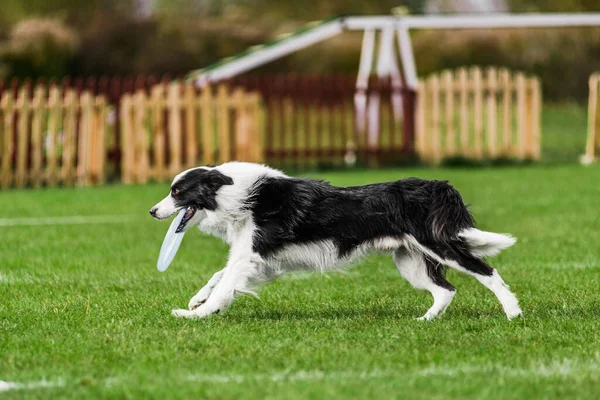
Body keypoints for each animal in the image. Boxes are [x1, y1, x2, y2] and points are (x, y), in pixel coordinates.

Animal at [150, 161, 520, 320]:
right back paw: (426, 320)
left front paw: (196, 314)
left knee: (487, 272)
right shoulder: (263, 261)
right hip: (410, 260)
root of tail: (437, 186)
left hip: (439, 245)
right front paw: (197, 300)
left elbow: (226, 283)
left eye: (177, 192)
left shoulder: (250, 255)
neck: (234, 193)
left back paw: (513, 313)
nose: (153, 211)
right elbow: (219, 276)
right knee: (446, 290)